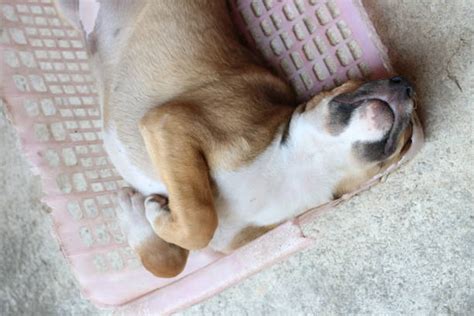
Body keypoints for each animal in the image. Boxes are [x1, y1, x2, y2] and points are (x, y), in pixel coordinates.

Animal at [83, 0, 412, 276]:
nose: (406, 84)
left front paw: (140, 217)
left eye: (407, 138)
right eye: (360, 80)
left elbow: (175, 257)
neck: (303, 165)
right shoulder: (169, 122)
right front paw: (141, 215)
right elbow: (200, 217)